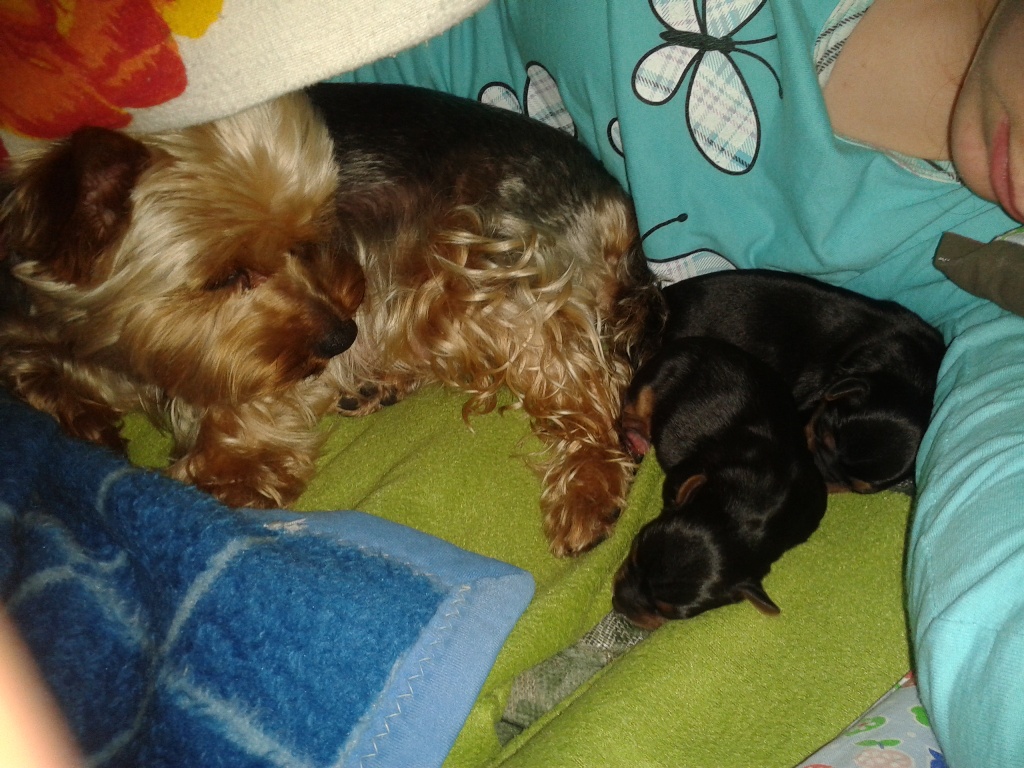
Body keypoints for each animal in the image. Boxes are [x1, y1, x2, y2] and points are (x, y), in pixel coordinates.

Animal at [0, 82, 661, 556]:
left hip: (482, 265)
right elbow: (33, 370)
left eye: (310, 238)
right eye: (225, 277)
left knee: (588, 383)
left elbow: (226, 452)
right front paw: (84, 418)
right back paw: (378, 385)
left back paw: (588, 488)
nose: (342, 337)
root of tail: (614, 199)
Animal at [613, 337, 827, 628]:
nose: (617, 603)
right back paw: (637, 437)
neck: (745, 516)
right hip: (652, 382)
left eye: (667, 611)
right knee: (629, 410)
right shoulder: (685, 473)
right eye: (633, 554)